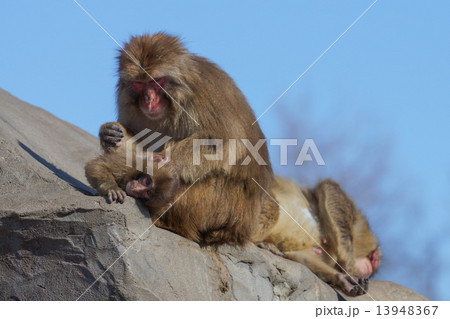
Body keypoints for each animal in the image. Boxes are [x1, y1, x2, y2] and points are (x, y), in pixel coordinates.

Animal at [84, 33, 380, 298]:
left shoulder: (202, 93)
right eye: (139, 85)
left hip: (224, 205)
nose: (149, 100)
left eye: (157, 82)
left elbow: (221, 142)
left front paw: (161, 164)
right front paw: (109, 134)